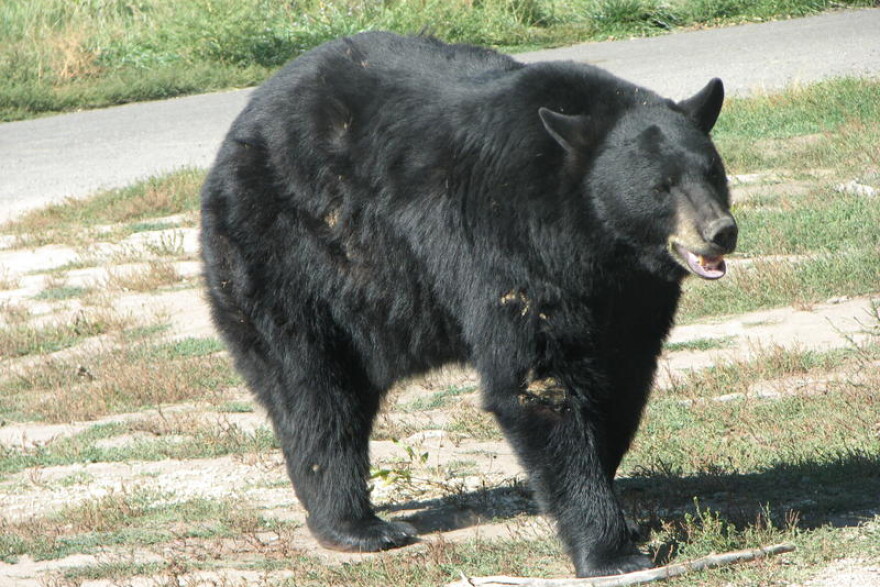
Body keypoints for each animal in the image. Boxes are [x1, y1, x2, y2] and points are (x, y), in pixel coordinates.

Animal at [200, 31, 737, 578]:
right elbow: (538, 380)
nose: (720, 231)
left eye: (713, 171)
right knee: (315, 391)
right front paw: (608, 549)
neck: (592, 238)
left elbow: (624, 377)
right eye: (660, 186)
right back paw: (358, 526)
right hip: (289, 255)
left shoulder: (632, 294)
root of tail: (239, 129)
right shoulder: (509, 243)